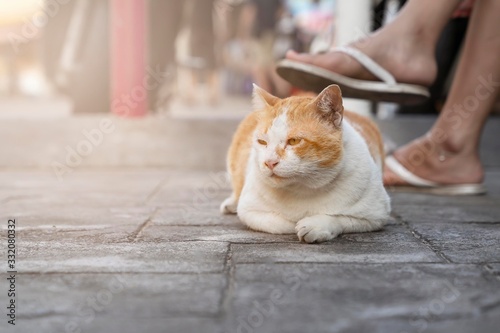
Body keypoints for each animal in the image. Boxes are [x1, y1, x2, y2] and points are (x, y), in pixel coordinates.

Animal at [220, 84, 390, 243]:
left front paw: (316, 226)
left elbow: (340, 219)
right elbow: (282, 224)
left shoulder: (376, 215)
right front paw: (295, 223)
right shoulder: (249, 210)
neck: (303, 188)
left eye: (294, 141)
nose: (269, 162)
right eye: (262, 142)